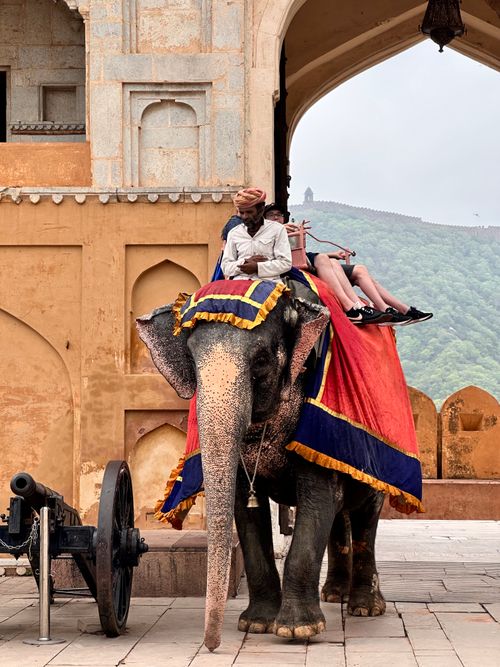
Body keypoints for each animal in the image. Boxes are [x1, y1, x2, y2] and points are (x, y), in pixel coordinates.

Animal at [136, 289, 386, 652]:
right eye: (193, 365)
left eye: (261, 361)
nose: (211, 646)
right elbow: (247, 511)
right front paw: (255, 625)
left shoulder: (315, 428)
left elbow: (318, 500)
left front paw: (298, 631)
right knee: (341, 515)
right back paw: (334, 595)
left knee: (366, 514)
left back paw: (365, 608)